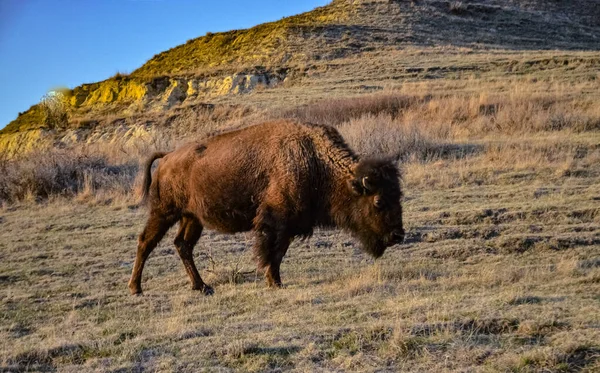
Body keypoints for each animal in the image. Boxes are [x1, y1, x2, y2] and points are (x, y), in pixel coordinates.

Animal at [129, 119, 406, 294]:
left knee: (183, 245)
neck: (316, 161)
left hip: (191, 218)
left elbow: (279, 253)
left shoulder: (289, 226)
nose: (397, 236)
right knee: (146, 242)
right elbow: (271, 252)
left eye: (399, 196)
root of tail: (167, 157)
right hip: (164, 212)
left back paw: (202, 287)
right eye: (378, 201)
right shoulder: (275, 222)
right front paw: (274, 282)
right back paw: (136, 288)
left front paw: (277, 281)